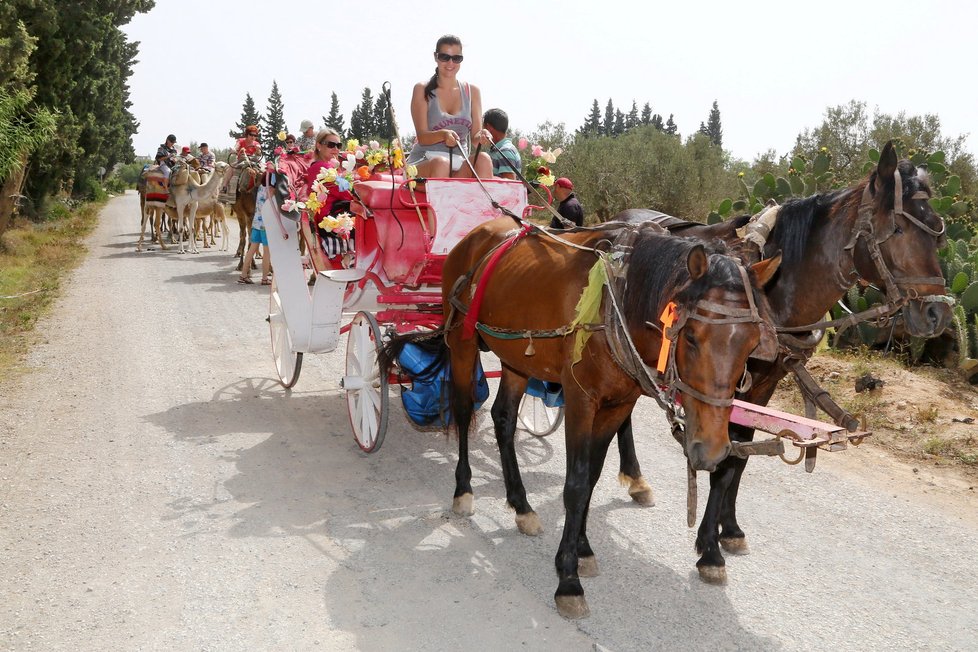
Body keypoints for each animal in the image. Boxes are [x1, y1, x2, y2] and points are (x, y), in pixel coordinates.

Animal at [382, 218, 776, 616]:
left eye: (752, 342)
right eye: (692, 336)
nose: (711, 450)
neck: (615, 302)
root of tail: (482, 230)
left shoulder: (618, 404)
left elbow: (592, 478)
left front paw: (581, 549)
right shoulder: (580, 400)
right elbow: (574, 484)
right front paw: (568, 579)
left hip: (516, 358)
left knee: (504, 418)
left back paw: (521, 504)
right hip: (461, 341)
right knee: (463, 412)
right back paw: (463, 490)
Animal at [612, 141, 948, 580]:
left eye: (938, 231)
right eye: (899, 230)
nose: (939, 314)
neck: (778, 288)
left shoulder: (765, 383)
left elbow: (740, 455)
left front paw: (729, 529)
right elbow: (727, 456)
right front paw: (709, 549)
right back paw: (635, 478)